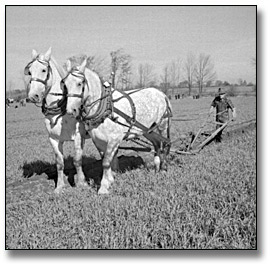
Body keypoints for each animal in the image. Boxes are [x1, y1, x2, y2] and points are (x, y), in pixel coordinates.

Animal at [25, 47, 90, 192]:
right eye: (30, 71)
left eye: (44, 70)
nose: (32, 96)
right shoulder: (54, 139)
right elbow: (59, 163)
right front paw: (60, 187)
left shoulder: (79, 136)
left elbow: (77, 160)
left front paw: (81, 183)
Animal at [63, 58, 172, 194]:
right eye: (65, 84)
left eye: (80, 83)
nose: (70, 110)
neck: (105, 107)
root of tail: (162, 93)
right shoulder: (98, 140)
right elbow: (106, 160)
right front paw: (110, 179)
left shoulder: (114, 139)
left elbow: (106, 162)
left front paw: (103, 187)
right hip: (147, 129)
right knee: (157, 144)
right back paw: (157, 167)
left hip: (162, 125)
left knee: (165, 143)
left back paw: (163, 168)